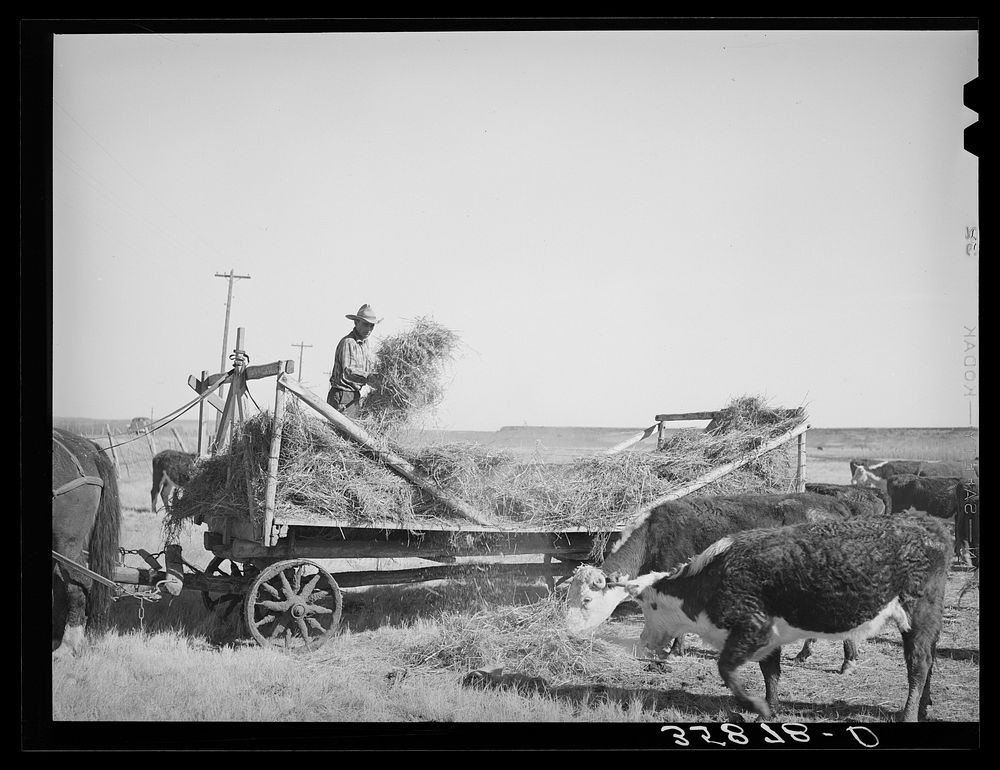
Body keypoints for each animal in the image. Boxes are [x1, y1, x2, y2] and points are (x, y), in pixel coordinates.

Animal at [568, 492, 864, 672]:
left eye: (586, 600)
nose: (569, 631)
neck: (654, 536)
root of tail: (836, 507)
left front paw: (675, 650)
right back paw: (805, 653)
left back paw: (847, 661)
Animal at [624, 510, 952, 720]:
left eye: (649, 607)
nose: (644, 641)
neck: (714, 577)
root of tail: (926, 523)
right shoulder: (770, 636)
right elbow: (770, 673)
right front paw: (770, 708)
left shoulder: (752, 629)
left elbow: (726, 670)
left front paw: (757, 707)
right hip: (928, 619)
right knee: (929, 659)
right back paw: (923, 708)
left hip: (917, 613)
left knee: (918, 664)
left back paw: (908, 715)